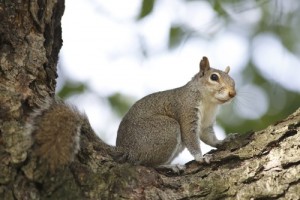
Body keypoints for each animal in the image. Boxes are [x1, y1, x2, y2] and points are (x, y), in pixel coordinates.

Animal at [27, 56, 236, 172]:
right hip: (165, 130)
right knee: (142, 163)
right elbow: (191, 137)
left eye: (233, 80)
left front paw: (222, 141)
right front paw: (201, 157)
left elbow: (207, 136)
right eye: (214, 77)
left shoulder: (207, 122)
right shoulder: (186, 109)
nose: (233, 93)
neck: (208, 101)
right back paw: (168, 166)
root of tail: (126, 149)